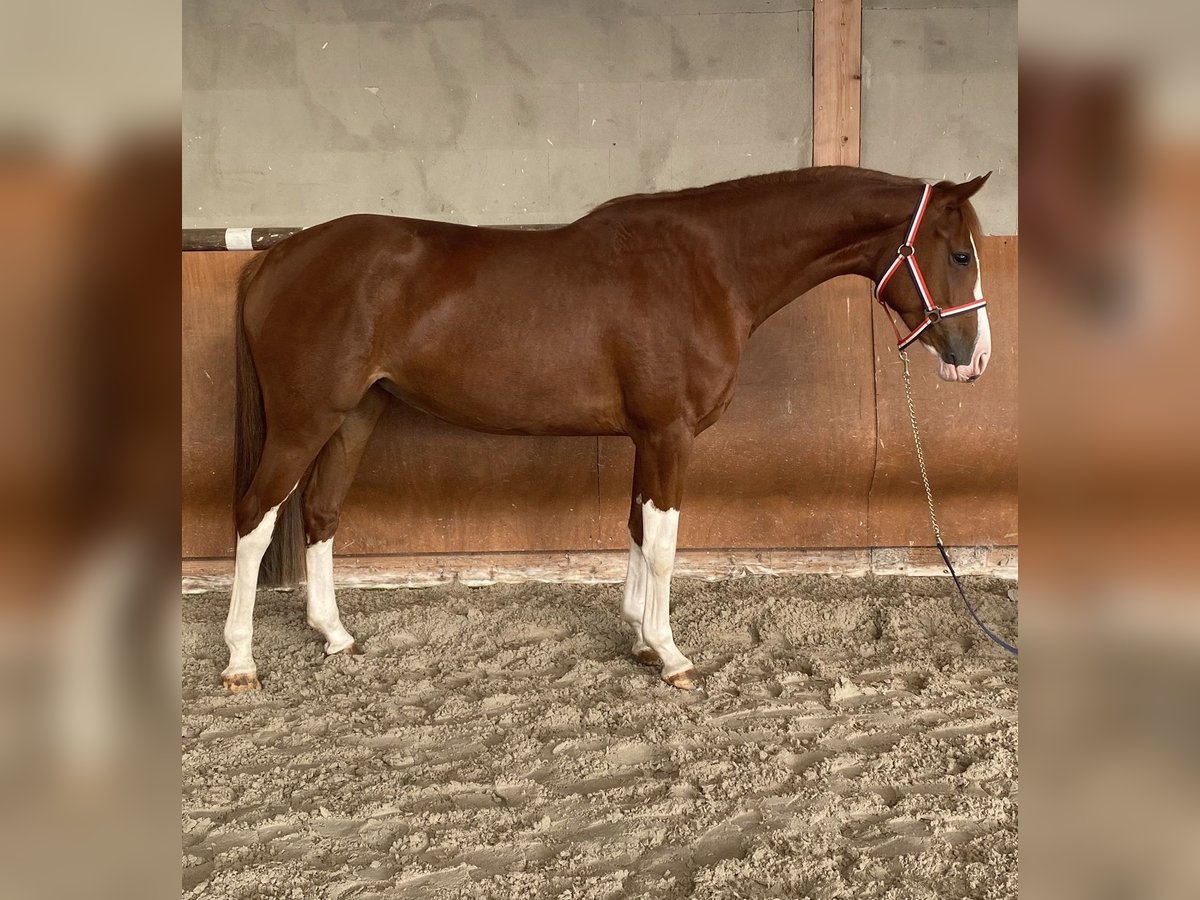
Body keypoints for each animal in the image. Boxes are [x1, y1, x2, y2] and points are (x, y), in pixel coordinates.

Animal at [225, 165, 993, 696]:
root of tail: (277, 256)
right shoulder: (670, 434)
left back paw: (335, 635)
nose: (975, 359)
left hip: (354, 416)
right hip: (304, 421)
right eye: (959, 255)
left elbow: (635, 528)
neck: (706, 266)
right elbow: (664, 545)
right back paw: (239, 661)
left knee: (320, 513)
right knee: (256, 518)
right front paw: (671, 655)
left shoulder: (646, 437)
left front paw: (640, 639)